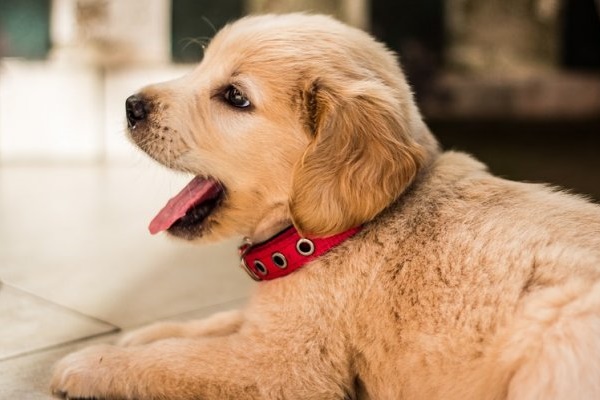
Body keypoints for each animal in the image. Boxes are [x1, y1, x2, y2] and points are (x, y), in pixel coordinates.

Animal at [51, 13, 600, 400]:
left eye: (234, 96)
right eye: (202, 66)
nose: (130, 105)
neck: (326, 236)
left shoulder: (283, 367)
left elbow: (180, 361)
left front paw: (90, 362)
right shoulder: (269, 324)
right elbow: (207, 326)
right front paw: (143, 335)